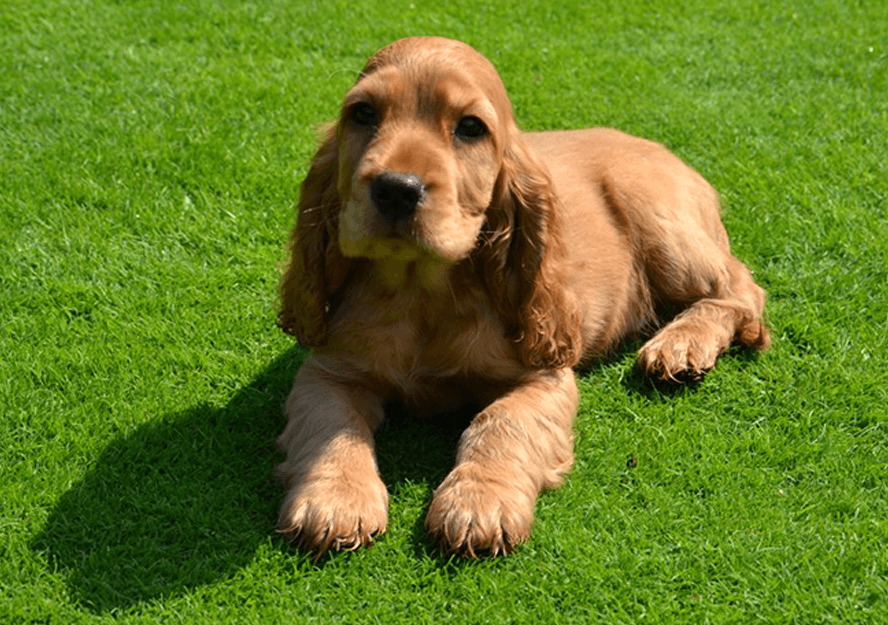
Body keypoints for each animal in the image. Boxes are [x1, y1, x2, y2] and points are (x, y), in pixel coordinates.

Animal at [274, 36, 768, 556]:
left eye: (470, 127)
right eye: (364, 113)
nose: (396, 189)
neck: (419, 291)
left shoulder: (543, 374)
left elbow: (501, 422)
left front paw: (477, 505)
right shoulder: (330, 371)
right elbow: (333, 426)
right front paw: (334, 500)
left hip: (660, 220)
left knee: (739, 288)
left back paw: (680, 346)